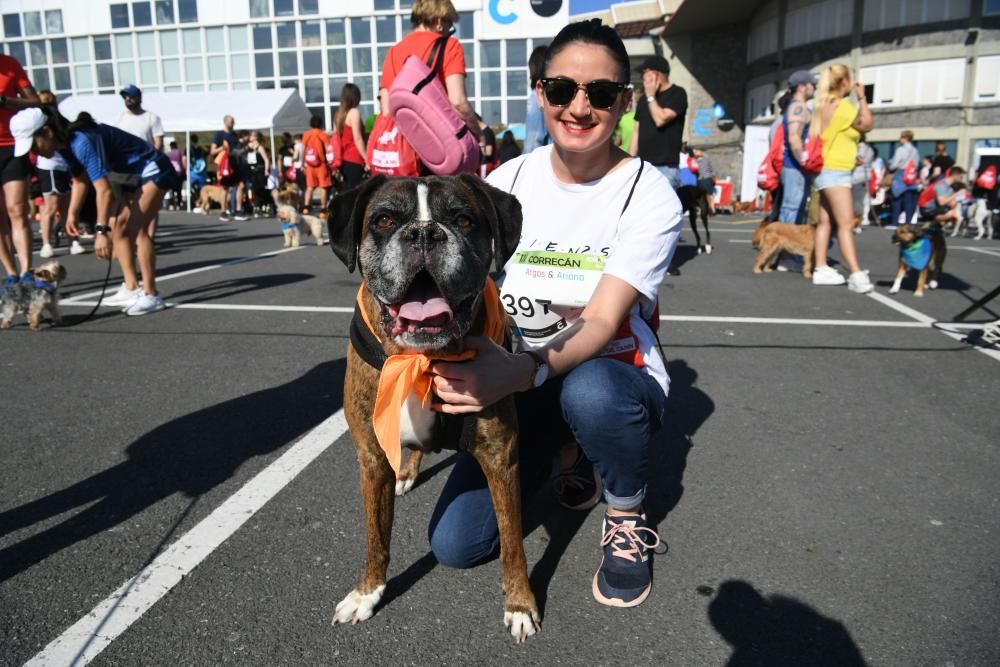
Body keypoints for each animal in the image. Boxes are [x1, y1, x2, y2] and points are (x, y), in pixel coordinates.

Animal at [328, 174, 540, 640]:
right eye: (384, 220)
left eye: (462, 219)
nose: (424, 233)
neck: (421, 358)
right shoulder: (372, 457)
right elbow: (376, 535)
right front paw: (367, 592)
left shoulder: (501, 458)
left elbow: (512, 542)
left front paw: (519, 603)